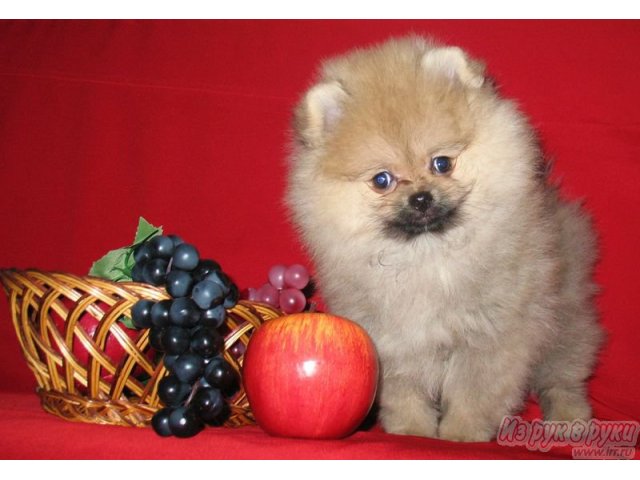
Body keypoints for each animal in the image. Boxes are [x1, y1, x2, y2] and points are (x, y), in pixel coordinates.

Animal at [286, 36, 604, 442]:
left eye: (442, 163)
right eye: (382, 180)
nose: (421, 197)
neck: (428, 256)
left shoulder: (489, 334)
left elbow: (474, 390)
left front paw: (461, 434)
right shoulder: (392, 337)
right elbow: (404, 389)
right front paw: (412, 431)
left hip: (564, 317)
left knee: (564, 374)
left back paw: (568, 418)